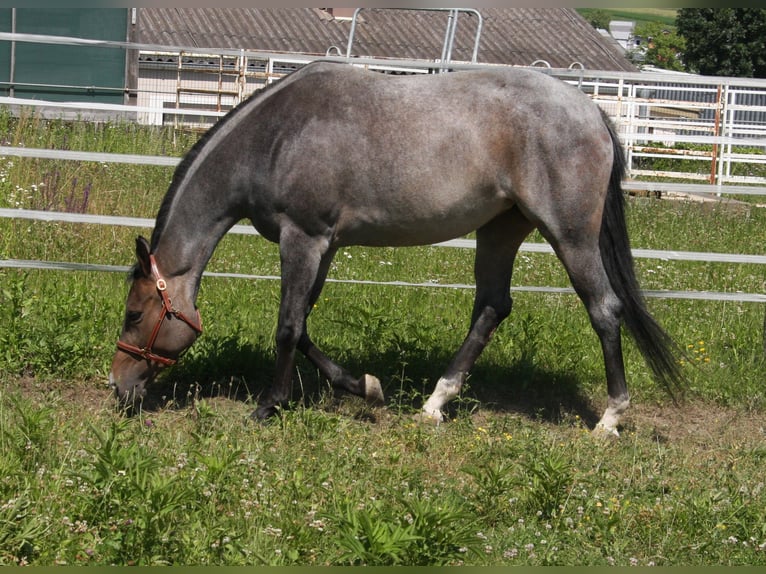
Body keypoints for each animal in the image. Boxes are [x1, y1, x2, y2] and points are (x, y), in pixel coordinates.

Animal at [109, 60, 682, 436]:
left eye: (135, 314)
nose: (119, 387)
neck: (275, 138)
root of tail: (592, 111)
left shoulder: (304, 238)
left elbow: (288, 326)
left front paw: (269, 406)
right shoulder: (324, 245)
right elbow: (305, 325)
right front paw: (364, 386)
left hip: (569, 235)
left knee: (604, 309)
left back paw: (610, 418)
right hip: (501, 230)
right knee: (492, 307)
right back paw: (434, 403)